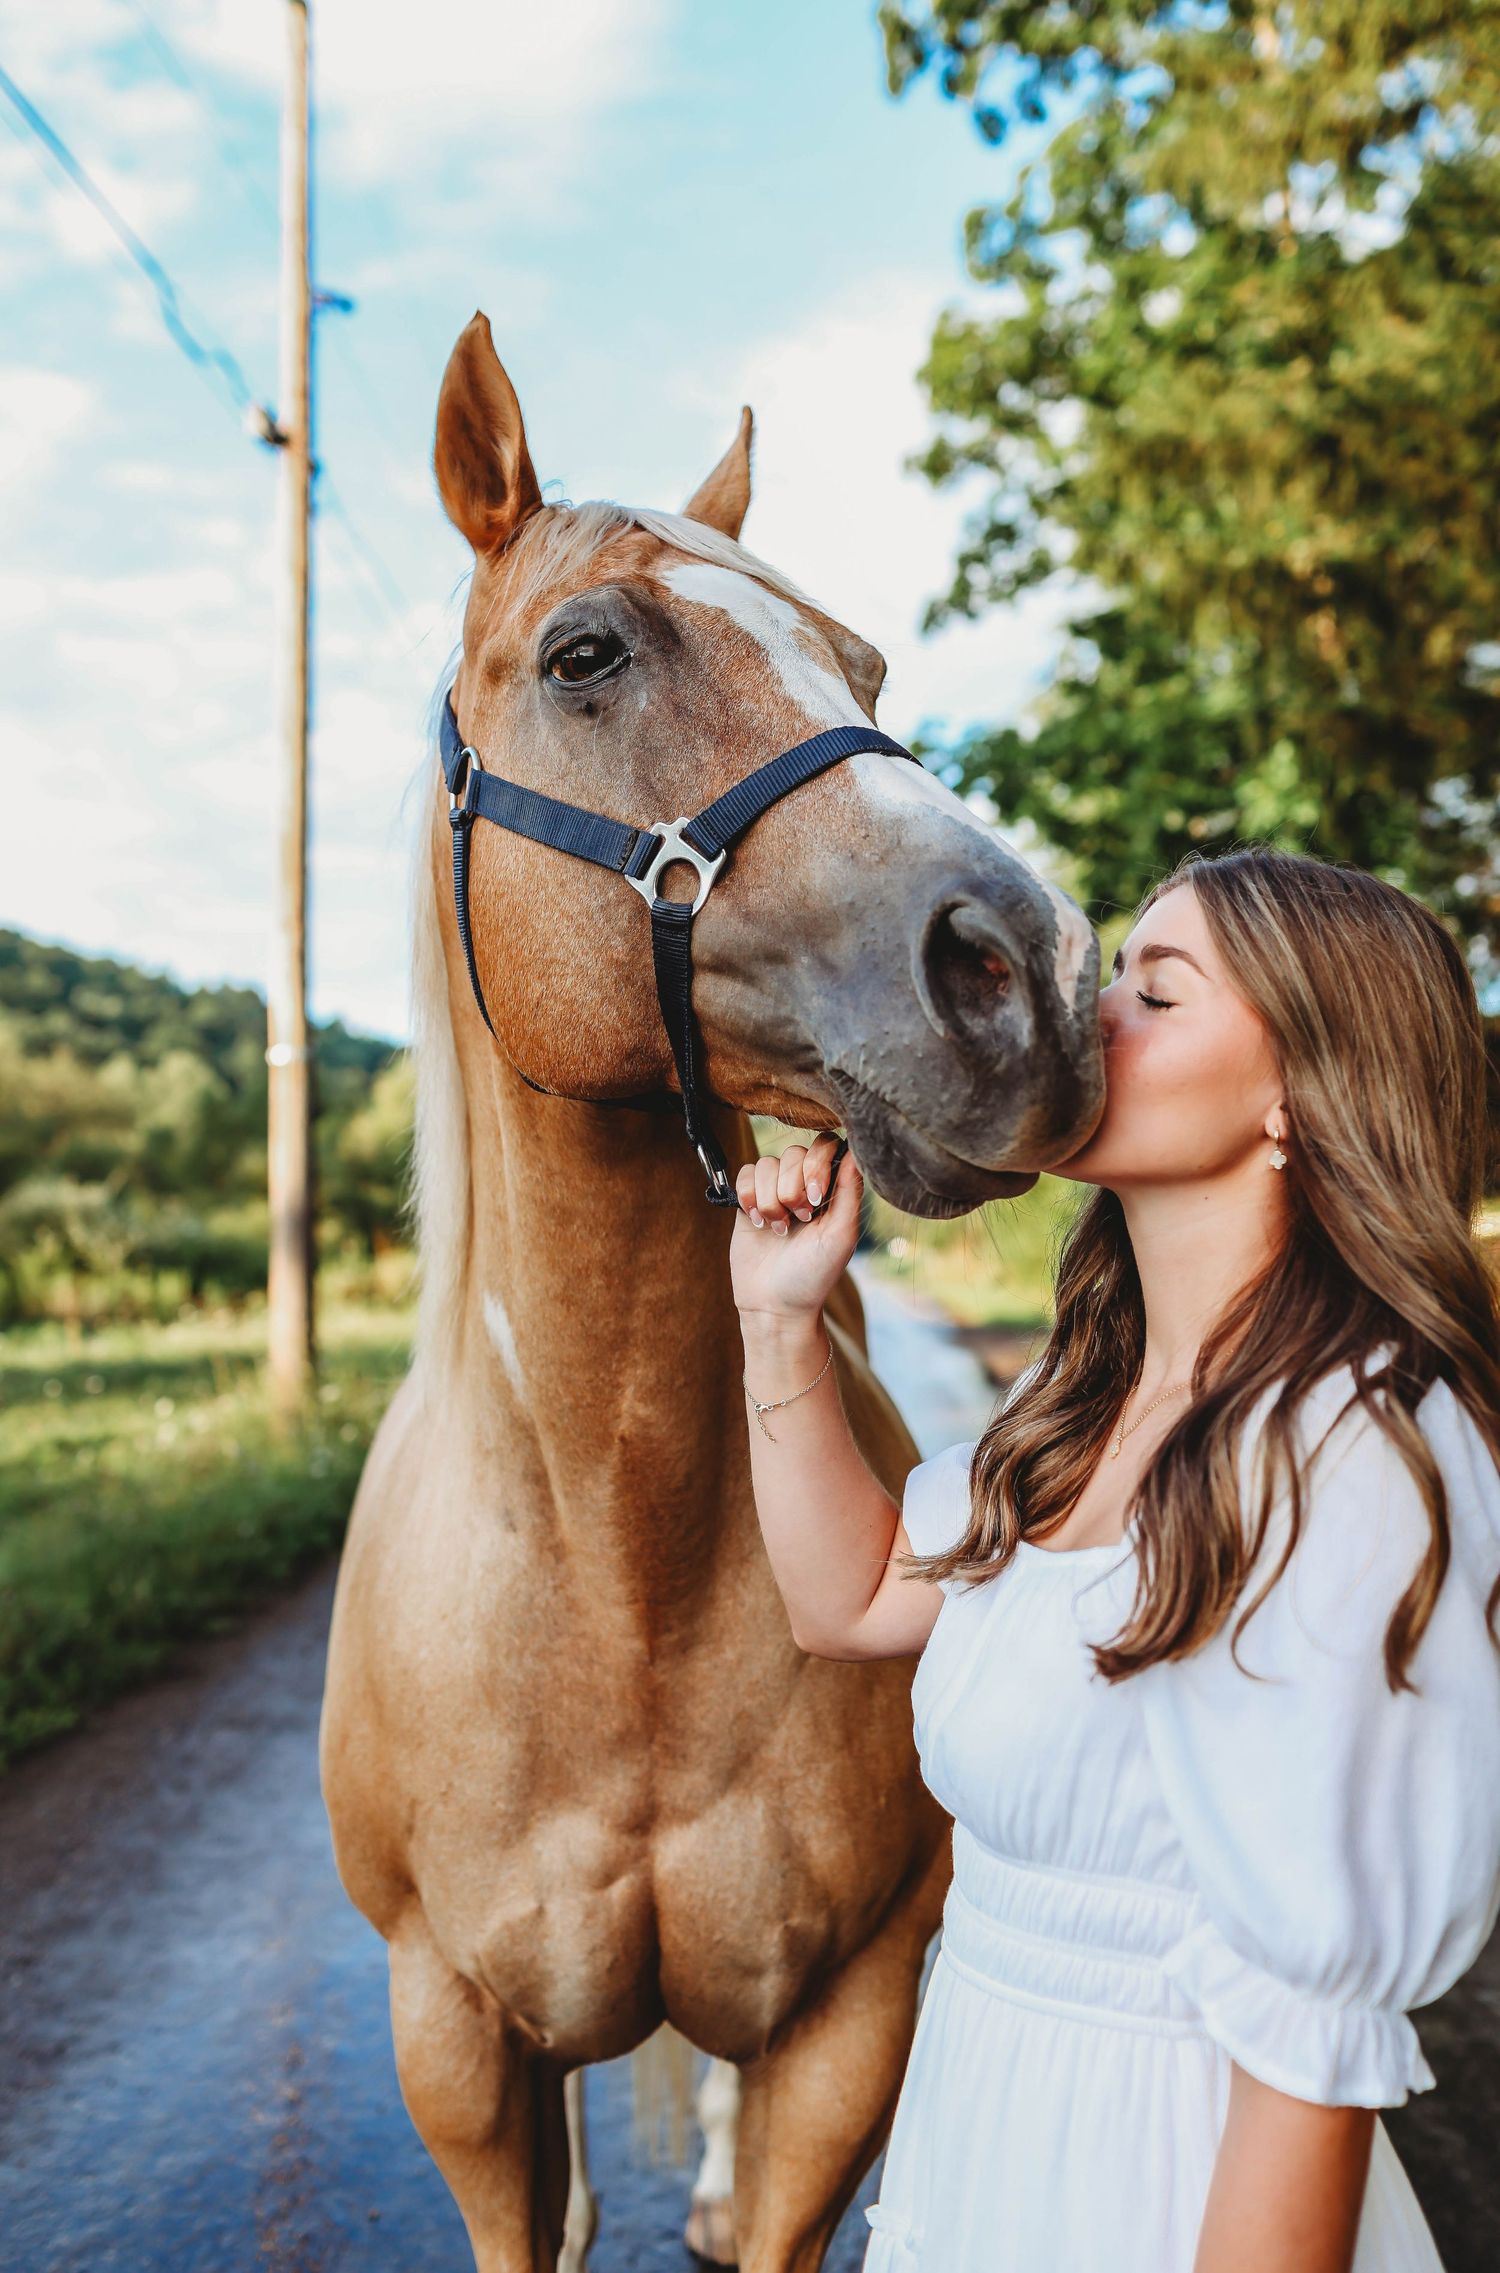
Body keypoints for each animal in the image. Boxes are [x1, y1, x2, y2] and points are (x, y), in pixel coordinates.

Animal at [319, 310, 1103, 2273]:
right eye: (588, 653)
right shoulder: (453, 2038)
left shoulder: (853, 2016)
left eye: (868, 661)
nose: (1034, 970)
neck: (618, 1573)